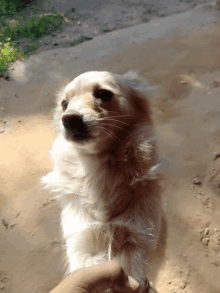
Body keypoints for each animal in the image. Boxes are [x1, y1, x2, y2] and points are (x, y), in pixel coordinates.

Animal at [40, 70, 167, 292]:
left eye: (103, 94)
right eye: (64, 103)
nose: (69, 119)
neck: (97, 166)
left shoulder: (137, 239)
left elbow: (132, 271)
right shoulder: (83, 242)